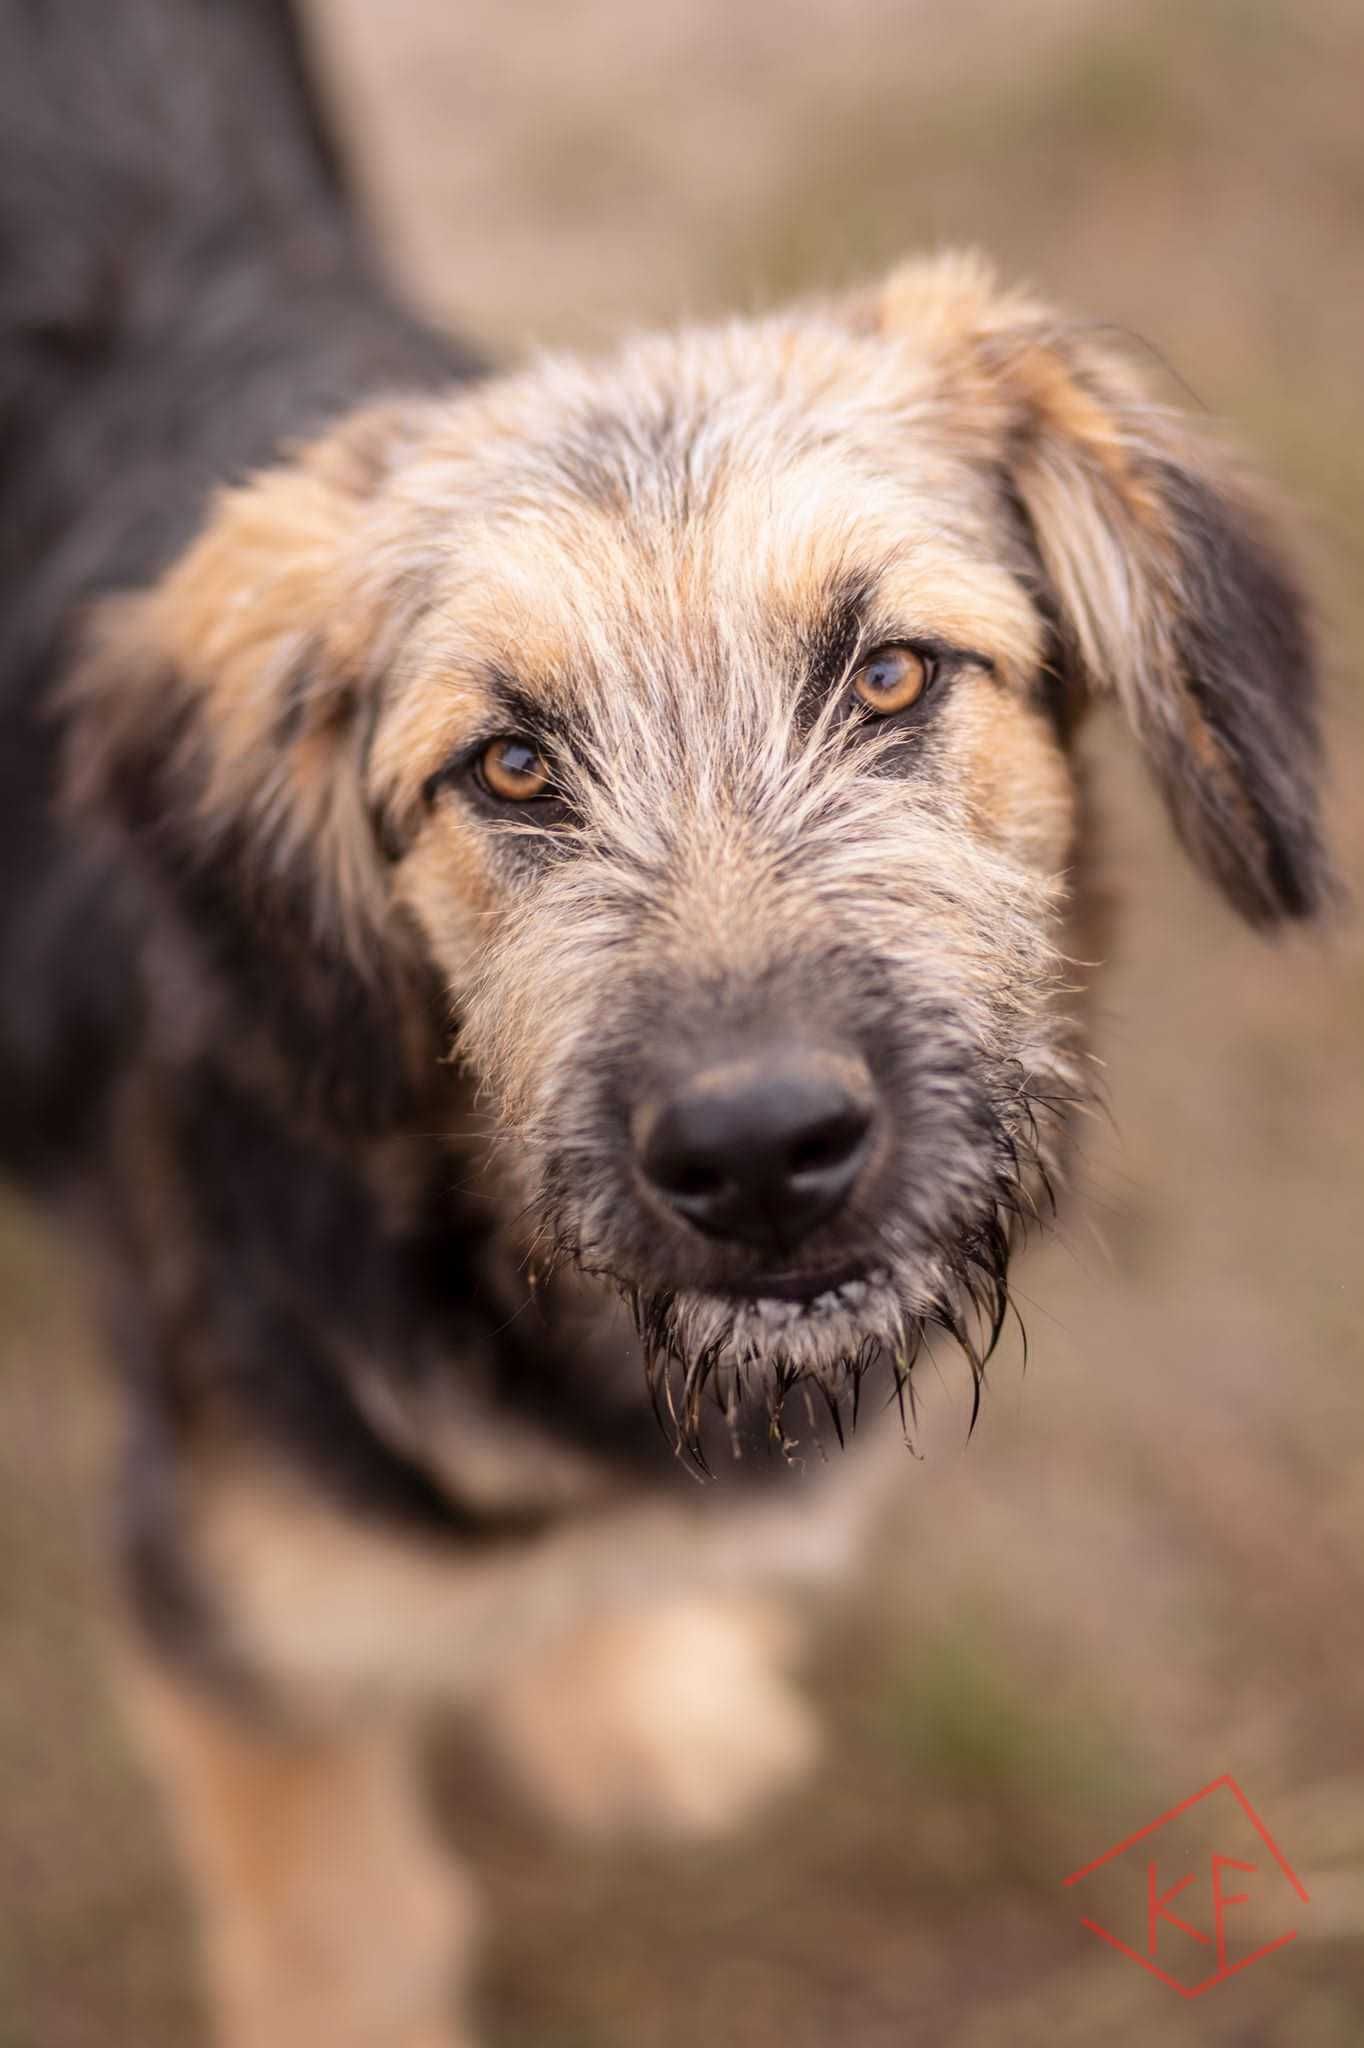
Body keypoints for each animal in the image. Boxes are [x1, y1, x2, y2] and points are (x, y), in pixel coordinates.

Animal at [0, 4, 1318, 2048]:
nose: (760, 1153)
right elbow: (343, 1938)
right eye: (509, 764)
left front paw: (622, 1701)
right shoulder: (247, 1647)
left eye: (890, 672)